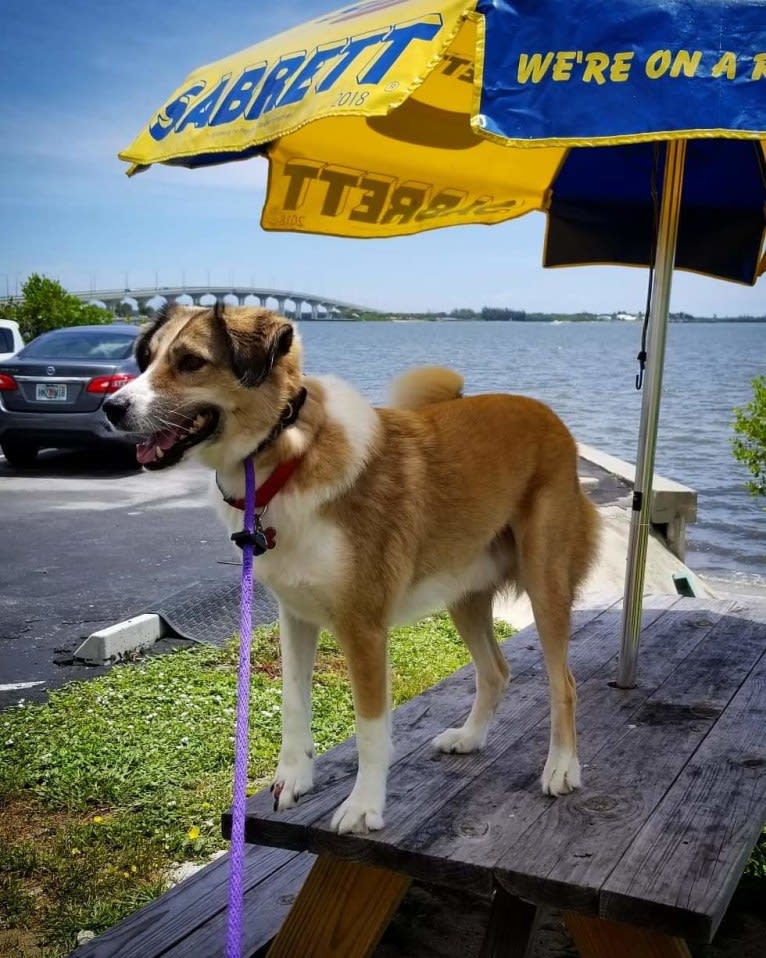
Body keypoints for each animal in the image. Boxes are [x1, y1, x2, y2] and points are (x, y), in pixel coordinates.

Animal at [105, 306, 604, 832]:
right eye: (148, 359)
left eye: (190, 362)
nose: (112, 407)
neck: (290, 455)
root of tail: (548, 415)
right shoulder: (295, 616)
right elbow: (293, 702)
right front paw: (294, 778)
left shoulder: (363, 628)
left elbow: (370, 727)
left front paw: (364, 805)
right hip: (463, 595)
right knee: (496, 671)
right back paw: (469, 738)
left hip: (546, 586)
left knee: (564, 684)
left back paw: (561, 766)